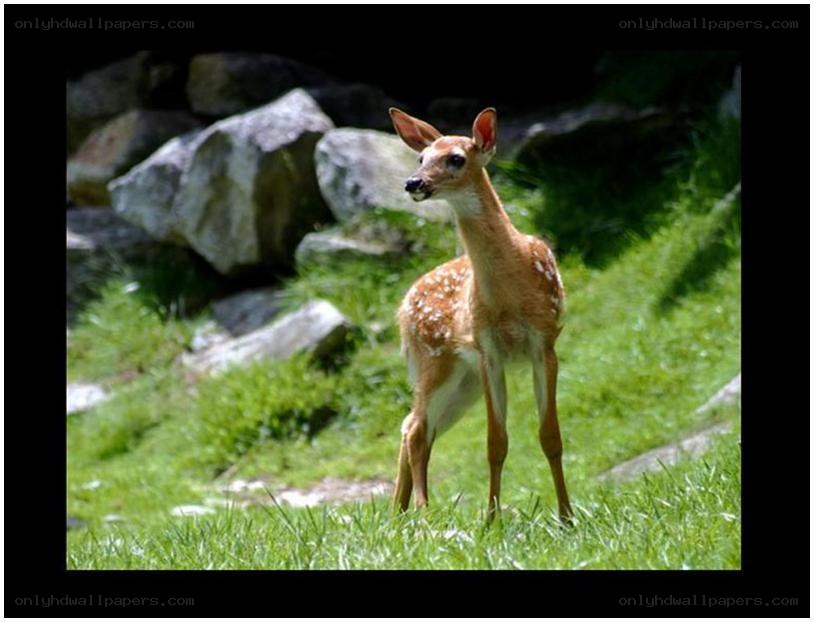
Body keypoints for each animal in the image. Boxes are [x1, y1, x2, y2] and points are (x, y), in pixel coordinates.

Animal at [389, 106, 573, 522]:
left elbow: (550, 437)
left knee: (413, 425)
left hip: (463, 381)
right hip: (435, 361)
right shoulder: (489, 350)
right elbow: (496, 443)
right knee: (417, 429)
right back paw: (422, 514)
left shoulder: (544, 342)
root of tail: (402, 309)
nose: (413, 182)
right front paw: (491, 520)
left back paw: (398, 513)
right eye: (420, 157)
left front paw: (568, 516)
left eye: (456, 158)